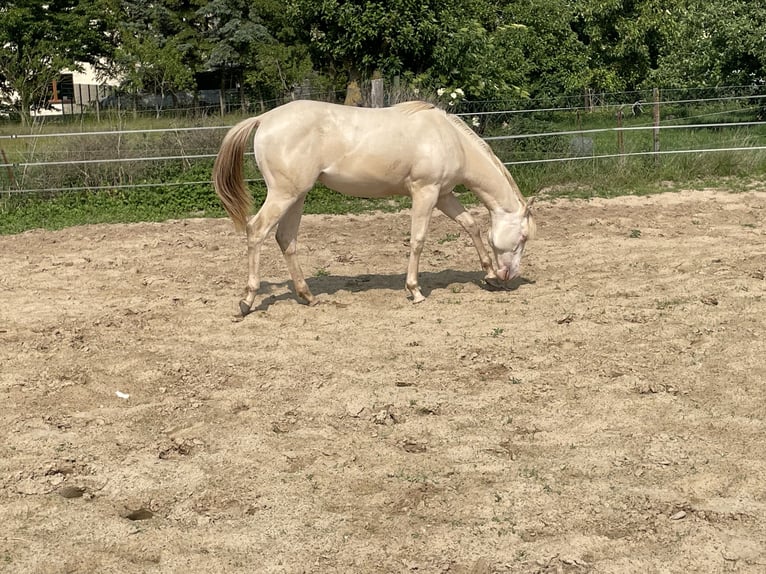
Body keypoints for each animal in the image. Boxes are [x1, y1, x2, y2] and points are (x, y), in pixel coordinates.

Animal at [213, 99, 536, 316]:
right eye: (522, 237)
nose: (509, 276)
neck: (449, 139)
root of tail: (264, 118)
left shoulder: (444, 195)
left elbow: (471, 226)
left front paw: (489, 275)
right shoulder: (426, 192)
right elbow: (418, 240)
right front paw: (415, 290)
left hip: (297, 196)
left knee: (286, 239)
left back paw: (308, 296)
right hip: (284, 194)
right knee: (256, 230)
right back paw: (247, 301)